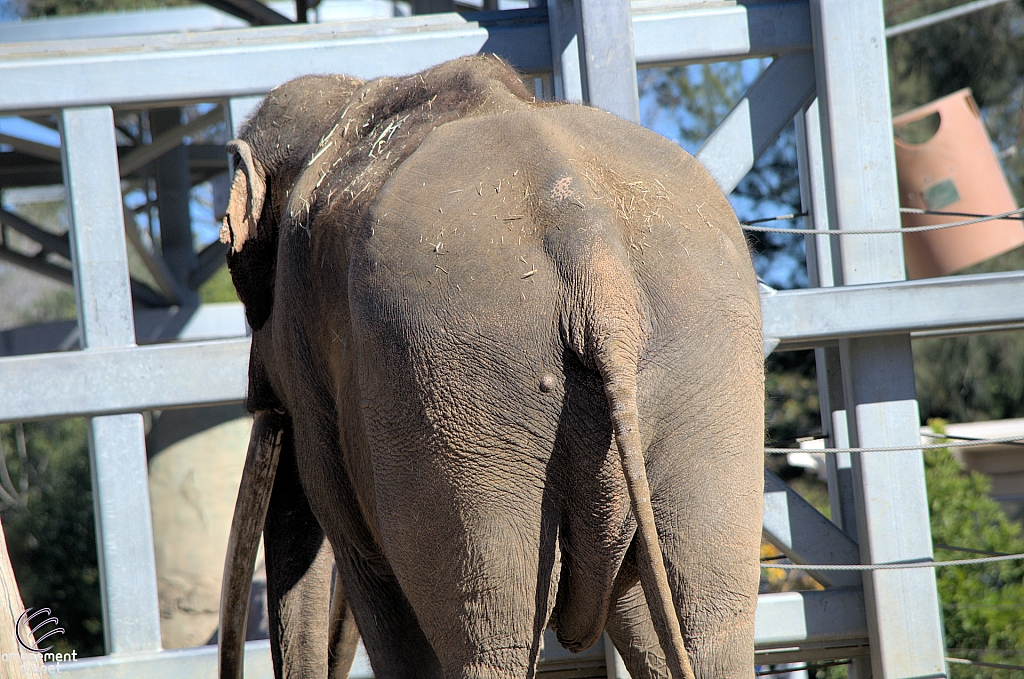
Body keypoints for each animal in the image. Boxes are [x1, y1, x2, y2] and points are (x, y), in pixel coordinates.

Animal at [214, 55, 761, 679]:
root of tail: (590, 248)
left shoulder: (307, 353)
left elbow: (358, 554)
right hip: (703, 366)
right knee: (710, 624)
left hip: (460, 383)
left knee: (487, 640)